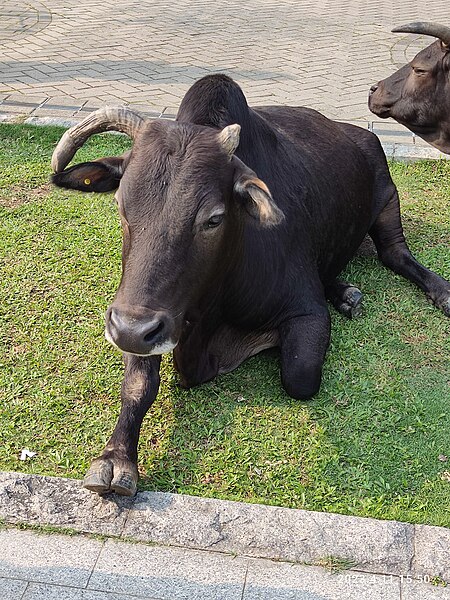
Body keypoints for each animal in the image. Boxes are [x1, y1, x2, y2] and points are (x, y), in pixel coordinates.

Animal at [50, 74, 450, 496]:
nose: (130, 329)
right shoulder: (147, 318)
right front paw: (115, 458)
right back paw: (344, 292)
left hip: (388, 200)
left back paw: (439, 292)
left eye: (213, 219)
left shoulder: (305, 312)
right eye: (120, 205)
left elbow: (300, 375)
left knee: (395, 255)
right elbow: (138, 383)